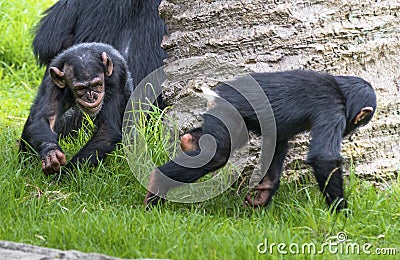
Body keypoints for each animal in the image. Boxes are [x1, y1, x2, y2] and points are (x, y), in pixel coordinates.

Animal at [19, 42, 133, 177]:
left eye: (97, 84)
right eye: (80, 88)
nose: (91, 97)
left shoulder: (117, 76)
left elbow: (107, 129)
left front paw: (65, 174)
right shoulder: (53, 83)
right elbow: (44, 118)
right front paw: (51, 153)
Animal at [145, 69, 376, 211]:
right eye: (359, 122)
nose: (350, 131)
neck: (342, 92)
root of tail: (214, 93)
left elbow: (277, 139)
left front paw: (265, 193)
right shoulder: (332, 111)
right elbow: (324, 158)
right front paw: (341, 212)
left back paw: (189, 141)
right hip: (226, 112)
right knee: (217, 154)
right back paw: (158, 183)